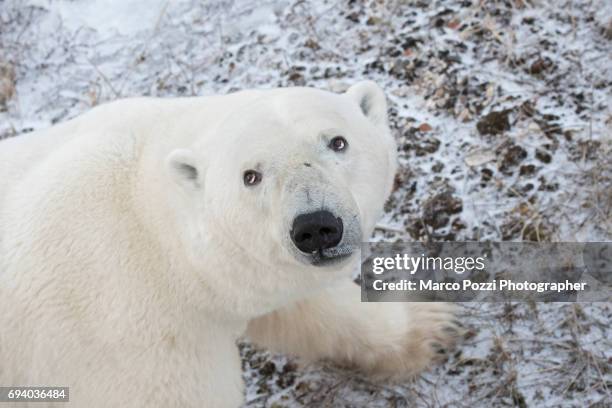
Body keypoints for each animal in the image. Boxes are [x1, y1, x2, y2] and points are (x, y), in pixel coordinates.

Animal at [0, 81, 460, 406]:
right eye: (250, 176)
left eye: (337, 141)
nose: (316, 228)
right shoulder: (130, 345)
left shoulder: (238, 275)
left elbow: (303, 308)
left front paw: (431, 323)